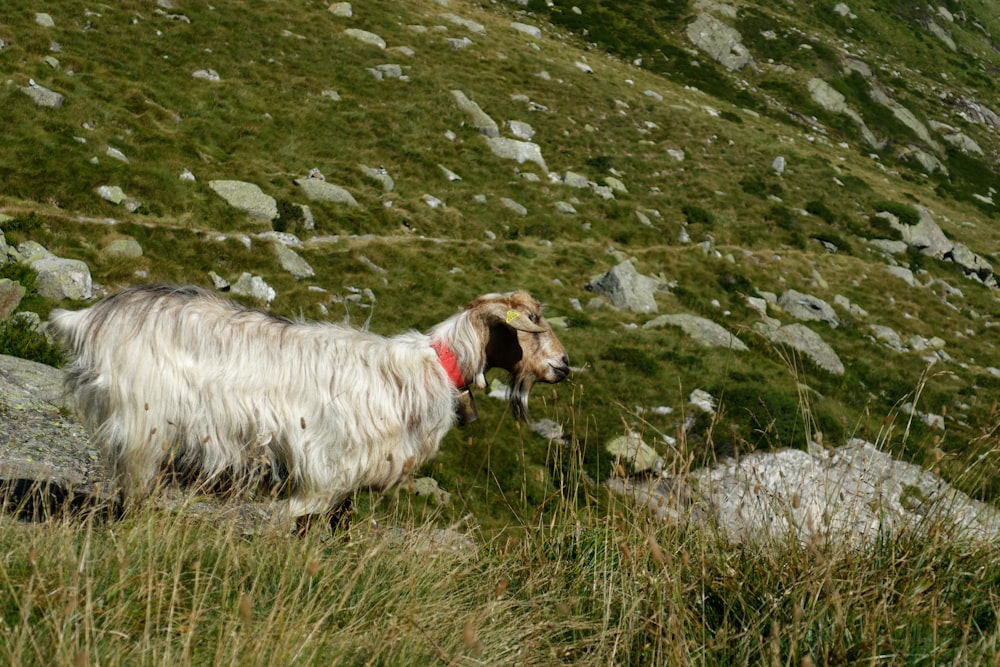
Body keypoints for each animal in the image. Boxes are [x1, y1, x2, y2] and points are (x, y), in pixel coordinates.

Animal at [50, 284, 572, 528]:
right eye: (533, 323)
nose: (564, 366)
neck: (433, 369)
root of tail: (91, 318)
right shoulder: (328, 466)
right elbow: (300, 516)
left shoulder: (352, 481)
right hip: (145, 421)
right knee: (135, 487)